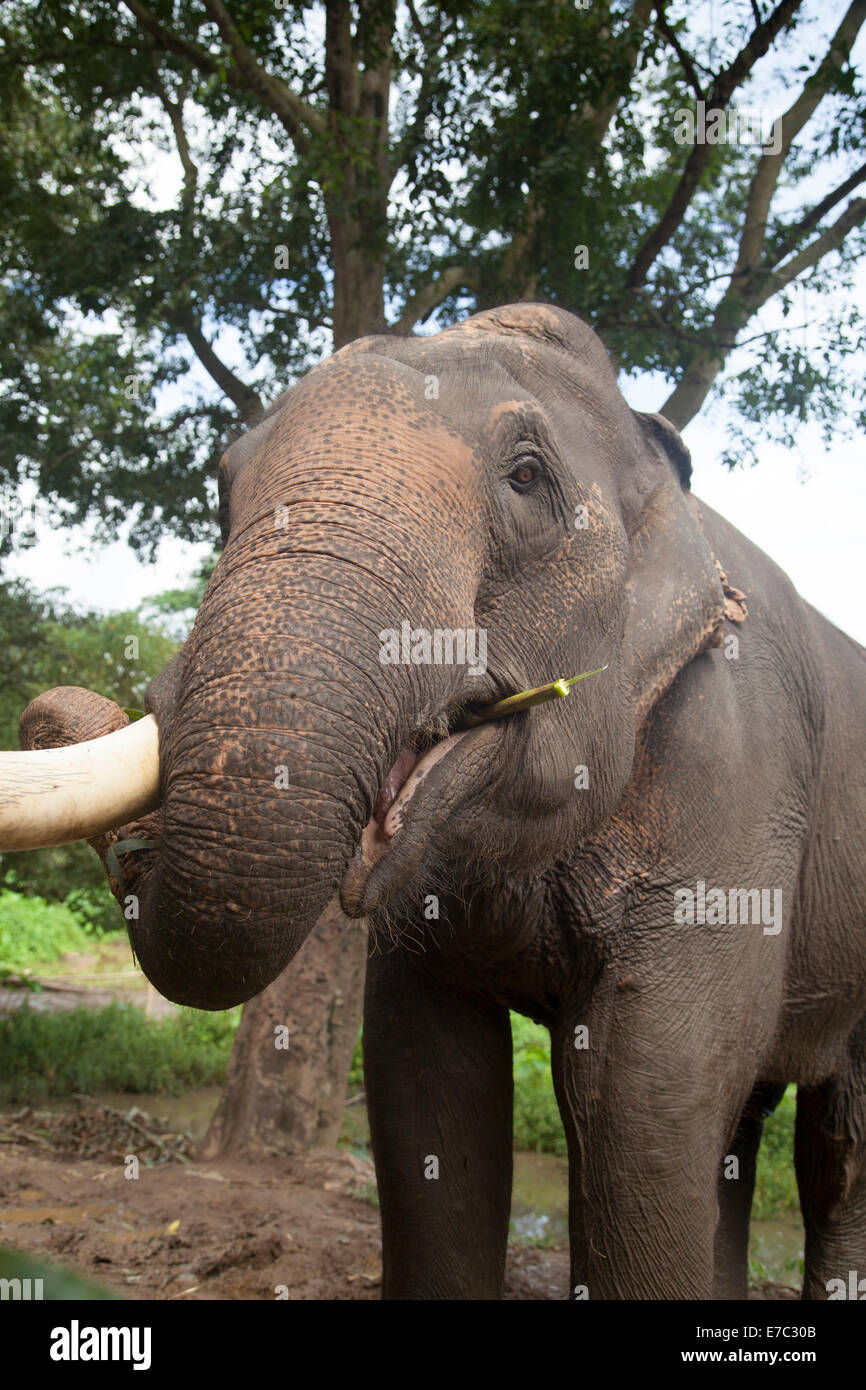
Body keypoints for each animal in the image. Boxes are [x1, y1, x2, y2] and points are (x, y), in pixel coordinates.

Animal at [1, 307, 866, 1301]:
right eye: (221, 488)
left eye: (526, 477)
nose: (47, 712)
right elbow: (426, 1085)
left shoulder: (730, 777)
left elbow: (646, 1095)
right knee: (748, 1129)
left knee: (835, 1153)